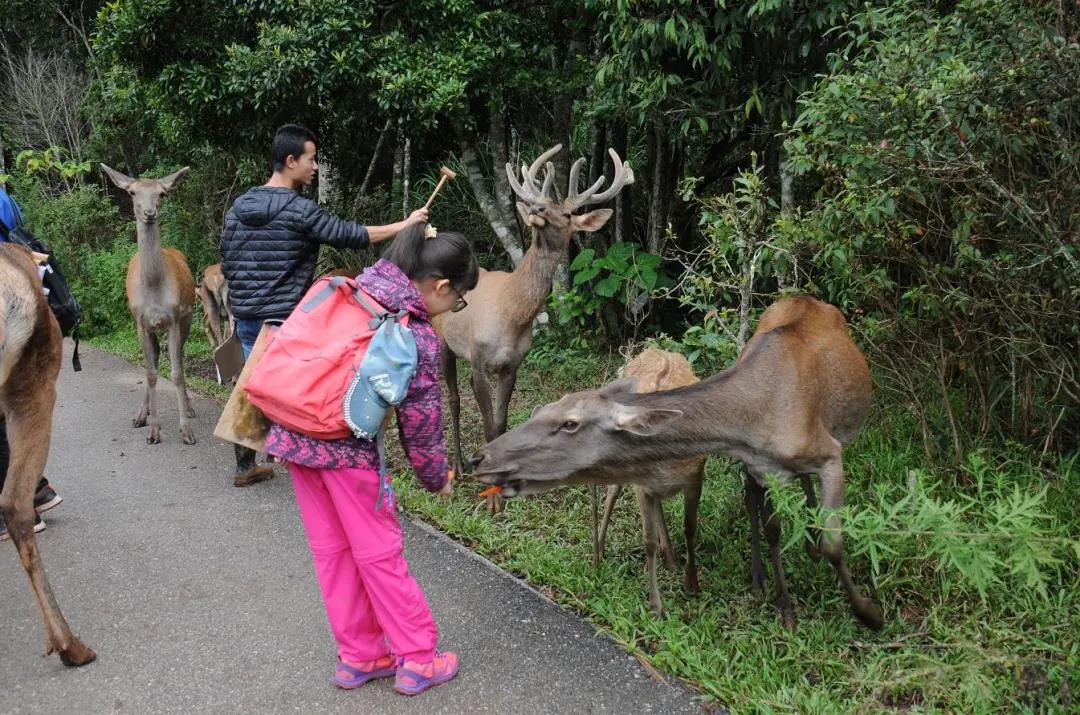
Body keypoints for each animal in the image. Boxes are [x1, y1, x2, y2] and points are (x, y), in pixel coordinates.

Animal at [102, 165, 198, 445]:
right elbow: (152, 372)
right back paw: (140, 416)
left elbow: (175, 372)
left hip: (187, 318)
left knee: (180, 358)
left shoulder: (174, 319)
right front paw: (154, 430)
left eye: (162, 193)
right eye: (132, 192)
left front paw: (186, 430)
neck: (154, 287)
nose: (149, 213)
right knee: (152, 362)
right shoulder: (142, 323)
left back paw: (188, 407)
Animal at [433, 144, 634, 512]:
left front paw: (499, 488)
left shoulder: (512, 364)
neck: (511, 316)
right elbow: (488, 423)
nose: (537, 208)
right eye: (542, 202)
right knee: (452, 398)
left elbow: (499, 424)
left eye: (567, 214)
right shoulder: (479, 359)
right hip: (443, 339)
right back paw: (457, 464)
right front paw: (491, 499)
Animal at [590, 348, 705, 617]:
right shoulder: (640, 485)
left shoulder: (696, 477)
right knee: (614, 491)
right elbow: (648, 540)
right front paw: (655, 606)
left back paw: (671, 558)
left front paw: (692, 583)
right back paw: (598, 553)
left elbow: (690, 528)